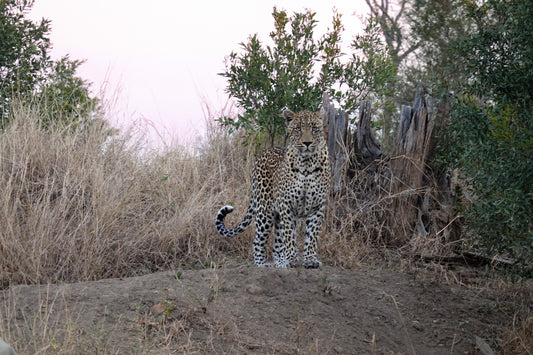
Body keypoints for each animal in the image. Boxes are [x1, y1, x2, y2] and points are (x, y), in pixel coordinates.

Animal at [214, 110, 330, 268]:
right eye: (298, 129)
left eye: (314, 129)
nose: (307, 143)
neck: (307, 163)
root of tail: (263, 154)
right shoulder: (287, 206)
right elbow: (290, 235)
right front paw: (293, 259)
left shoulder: (318, 206)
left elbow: (312, 236)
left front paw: (310, 260)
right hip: (265, 211)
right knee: (258, 241)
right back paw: (263, 264)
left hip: (277, 215)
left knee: (276, 247)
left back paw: (281, 263)